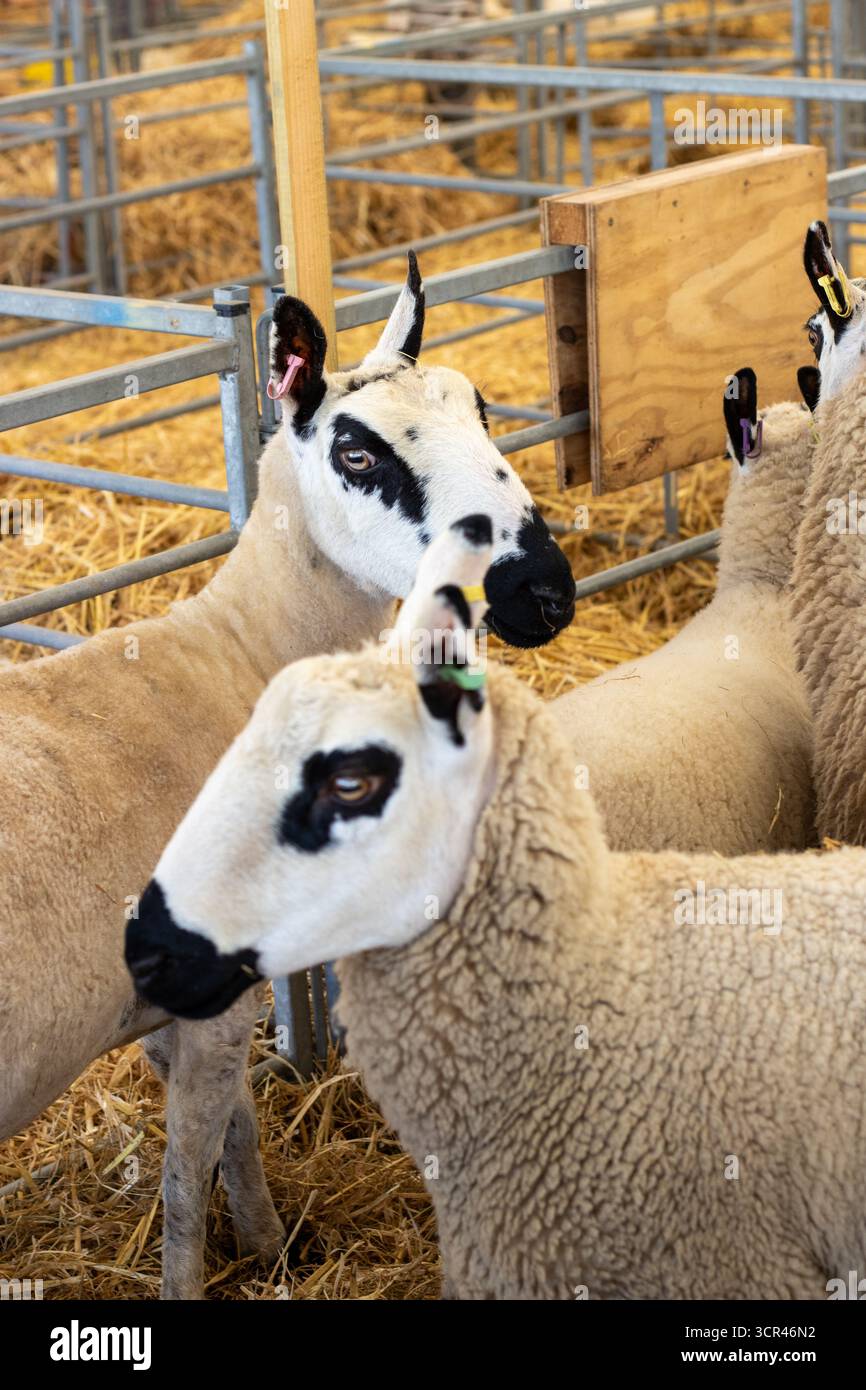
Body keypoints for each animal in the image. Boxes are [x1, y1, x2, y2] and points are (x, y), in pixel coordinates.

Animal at [0, 255, 576, 1300]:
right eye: (357, 455)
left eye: (482, 408)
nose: (542, 591)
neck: (234, 656)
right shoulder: (217, 987)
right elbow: (189, 1168)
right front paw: (223, 1262)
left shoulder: (169, 1004)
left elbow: (231, 1125)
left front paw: (270, 1244)